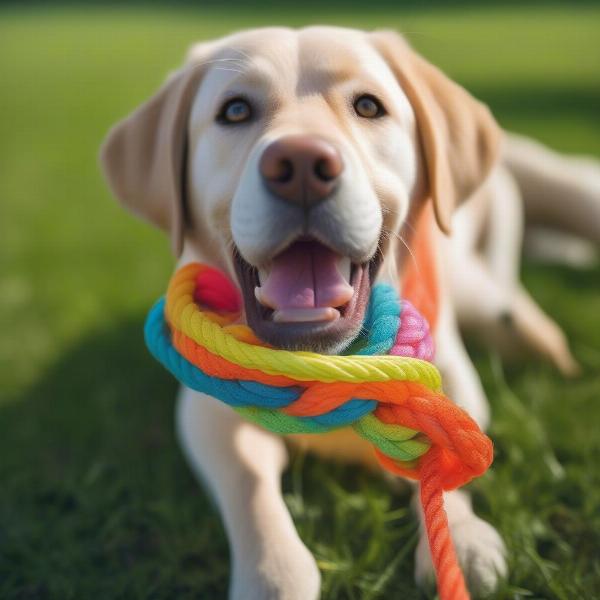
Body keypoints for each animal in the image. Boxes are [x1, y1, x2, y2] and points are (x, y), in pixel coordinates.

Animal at [99, 25, 600, 596]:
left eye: (367, 105)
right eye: (235, 110)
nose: (299, 165)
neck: (329, 360)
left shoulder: (450, 373)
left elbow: (444, 452)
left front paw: (463, 537)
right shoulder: (208, 413)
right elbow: (248, 486)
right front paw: (273, 573)